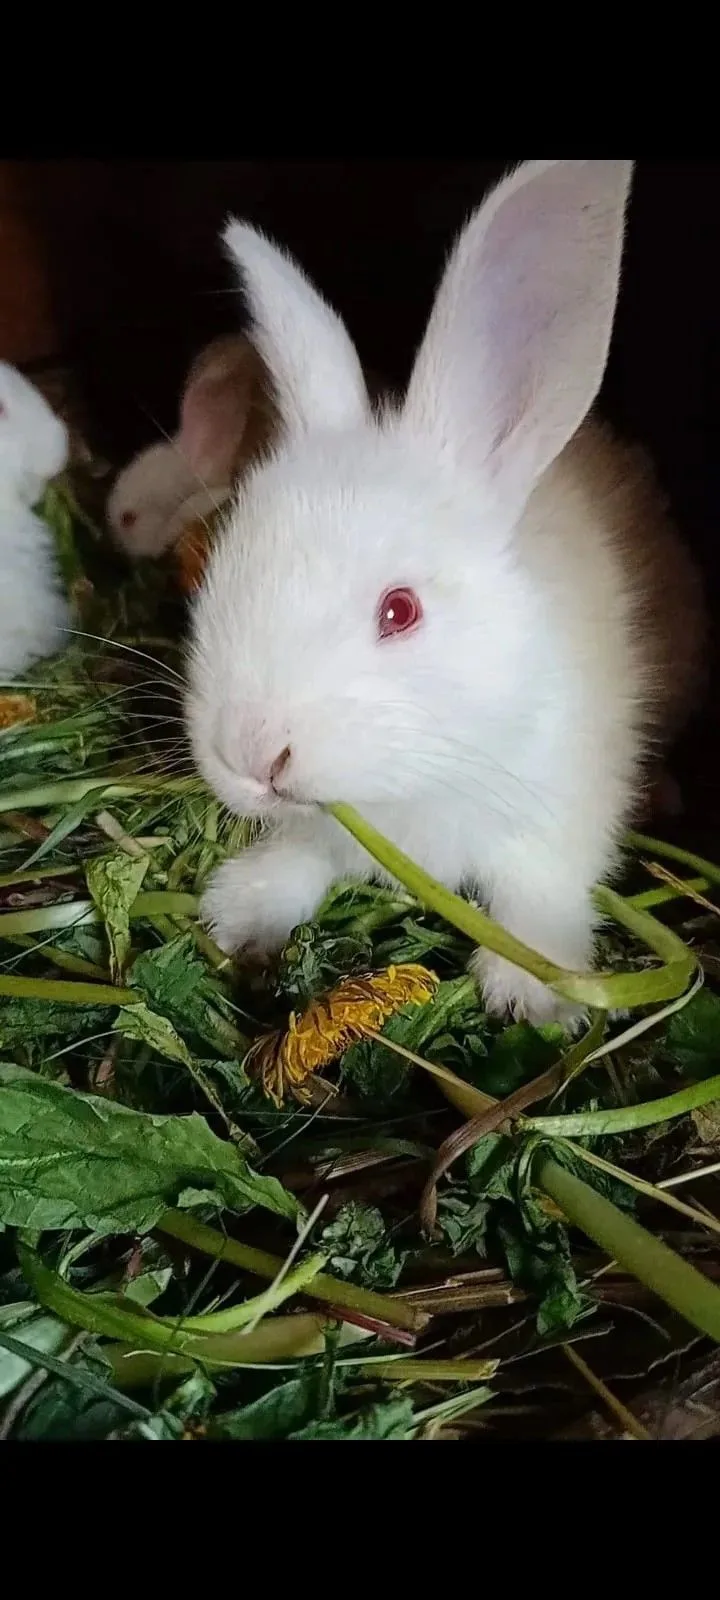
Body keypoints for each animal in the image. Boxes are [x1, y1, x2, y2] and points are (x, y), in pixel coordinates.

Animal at [185, 160, 706, 1027]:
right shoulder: (323, 832)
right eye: (221, 569)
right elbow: (301, 859)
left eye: (400, 611)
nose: (252, 755)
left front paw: (531, 993)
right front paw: (240, 910)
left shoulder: (558, 822)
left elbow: (538, 900)